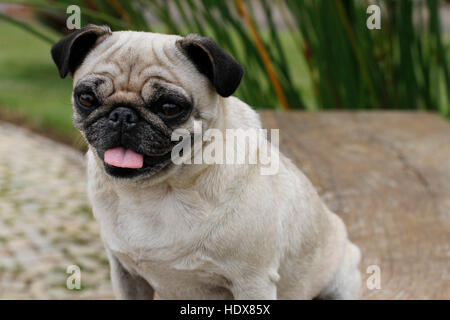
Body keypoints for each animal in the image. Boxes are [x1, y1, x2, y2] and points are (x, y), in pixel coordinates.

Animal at [51, 25, 360, 300]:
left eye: (169, 107)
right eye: (86, 98)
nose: (123, 115)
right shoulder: (126, 274)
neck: (153, 192)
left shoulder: (252, 281)